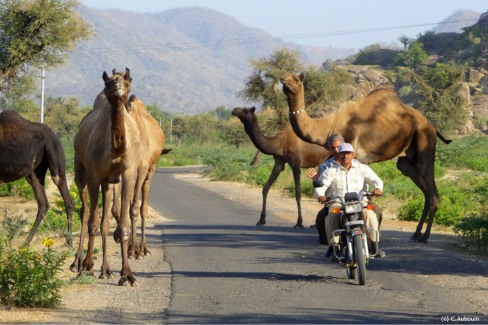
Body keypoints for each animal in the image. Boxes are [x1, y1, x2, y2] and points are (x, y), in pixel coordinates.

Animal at [0, 110, 73, 244]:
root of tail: (54, 135)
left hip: (55, 154)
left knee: (66, 196)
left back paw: (69, 241)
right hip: (34, 173)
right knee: (43, 203)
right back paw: (26, 242)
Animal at [69, 67, 148, 284]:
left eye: (128, 81)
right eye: (108, 82)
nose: (117, 88)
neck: (115, 151)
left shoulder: (127, 175)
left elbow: (121, 224)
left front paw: (126, 274)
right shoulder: (94, 176)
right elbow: (93, 222)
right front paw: (87, 265)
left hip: (108, 183)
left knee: (104, 220)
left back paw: (105, 269)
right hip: (81, 173)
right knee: (85, 211)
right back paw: (78, 262)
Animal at [280, 72, 452, 242]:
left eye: (296, 79)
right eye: (286, 76)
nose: (282, 79)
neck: (329, 126)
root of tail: (432, 126)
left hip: (424, 139)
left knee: (429, 183)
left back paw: (425, 236)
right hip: (407, 158)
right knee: (418, 182)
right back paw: (417, 233)